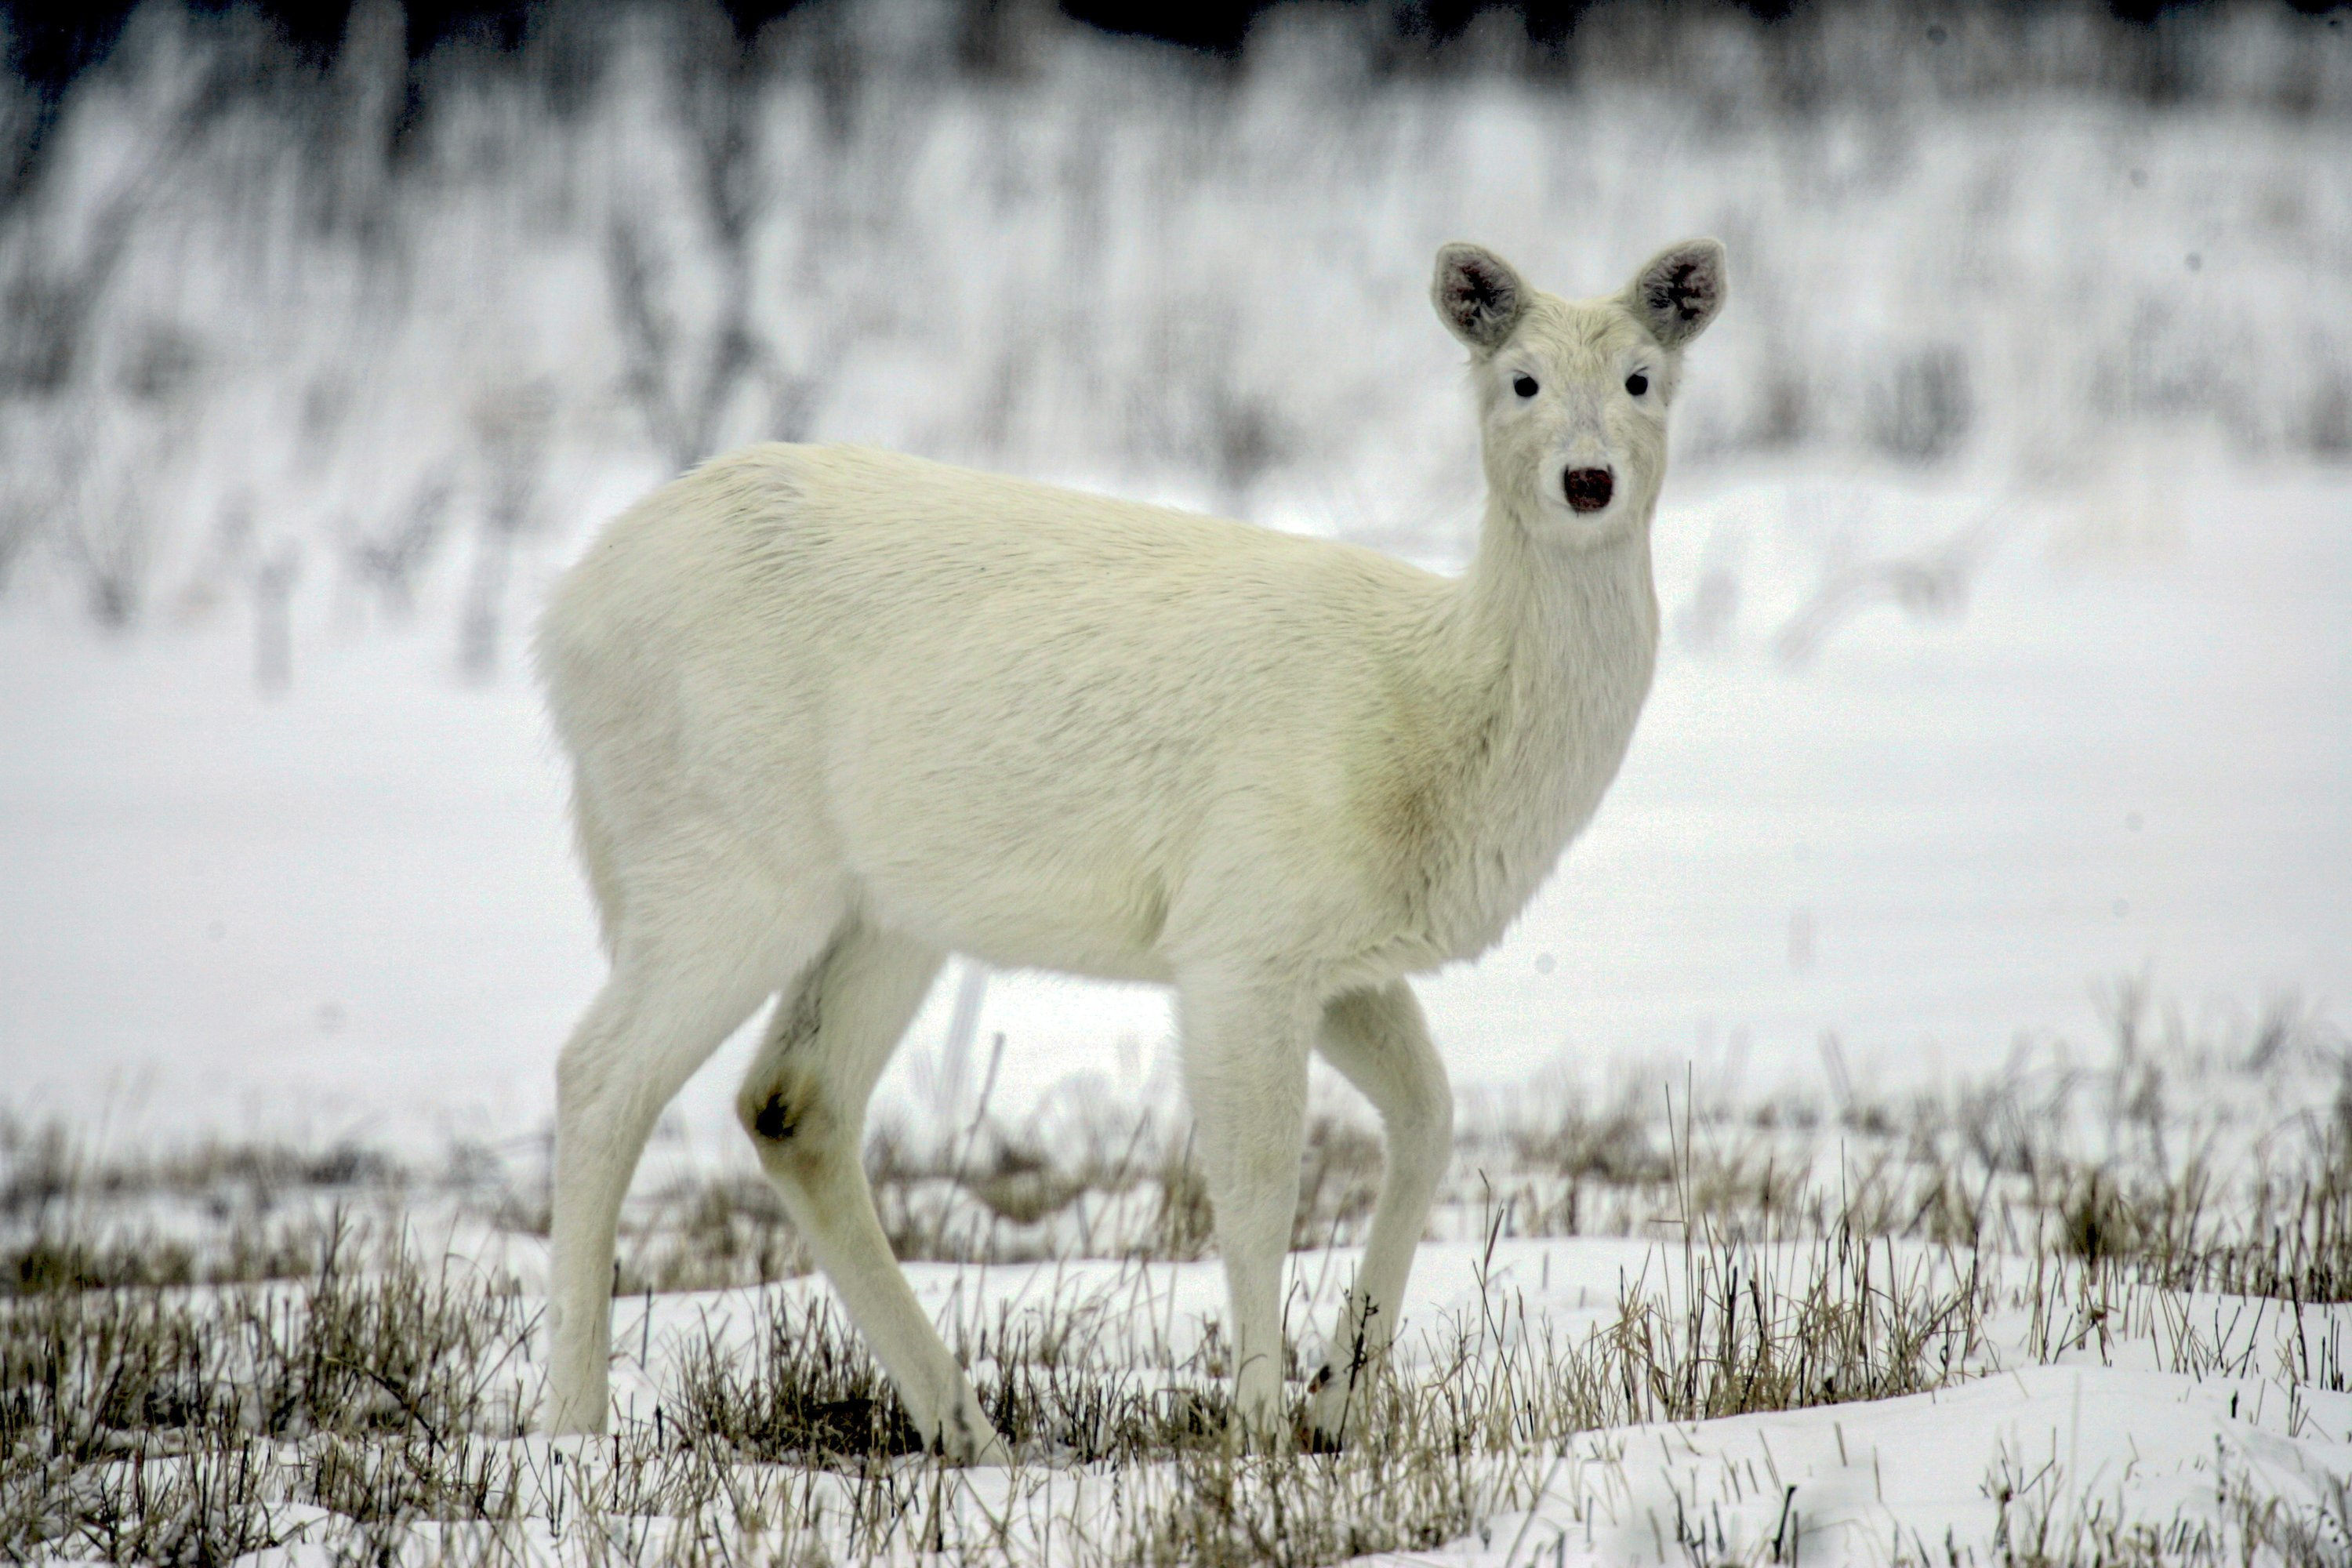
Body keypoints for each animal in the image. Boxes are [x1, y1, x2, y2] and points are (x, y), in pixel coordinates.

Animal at [535, 238, 1727, 1458]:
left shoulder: (1341, 956)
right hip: (725, 855)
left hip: (886, 910)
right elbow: (1257, 1188)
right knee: (600, 1076)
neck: (1433, 717)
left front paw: (1339, 1397)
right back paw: (575, 1422)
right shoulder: (1239, 930)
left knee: (791, 1102)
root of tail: (563, 619)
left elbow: (1431, 1120)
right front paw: (1257, 1423)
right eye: (1522, 380)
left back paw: (969, 1432)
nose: (1588, 480)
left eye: (1641, 379)